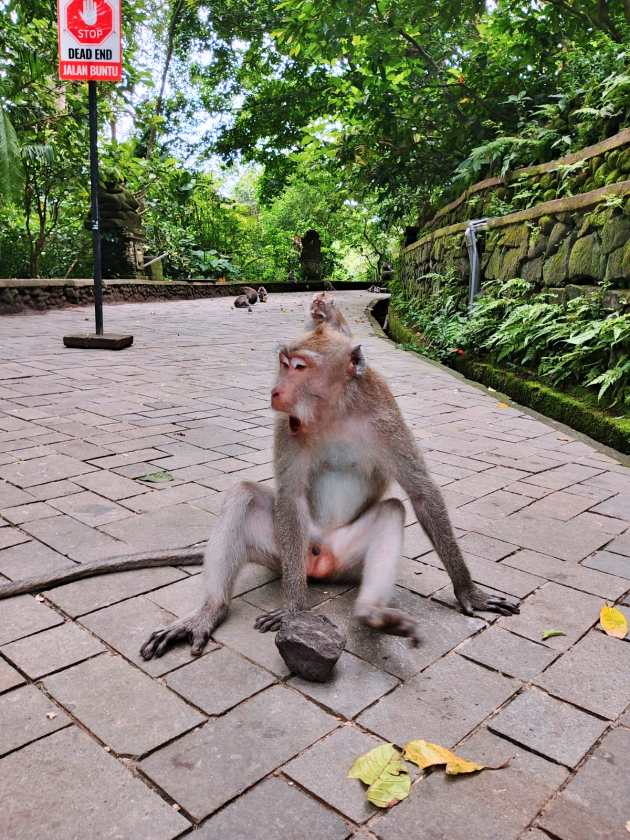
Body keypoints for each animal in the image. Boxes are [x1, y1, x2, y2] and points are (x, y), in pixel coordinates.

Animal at [0, 326, 519, 658]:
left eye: (299, 366)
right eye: (283, 364)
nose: (275, 390)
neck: (335, 410)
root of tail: (318, 563)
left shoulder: (384, 414)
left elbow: (421, 492)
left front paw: (468, 592)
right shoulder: (287, 427)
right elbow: (286, 496)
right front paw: (292, 611)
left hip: (344, 561)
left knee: (391, 509)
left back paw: (373, 612)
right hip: (283, 553)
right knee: (245, 497)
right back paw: (210, 613)